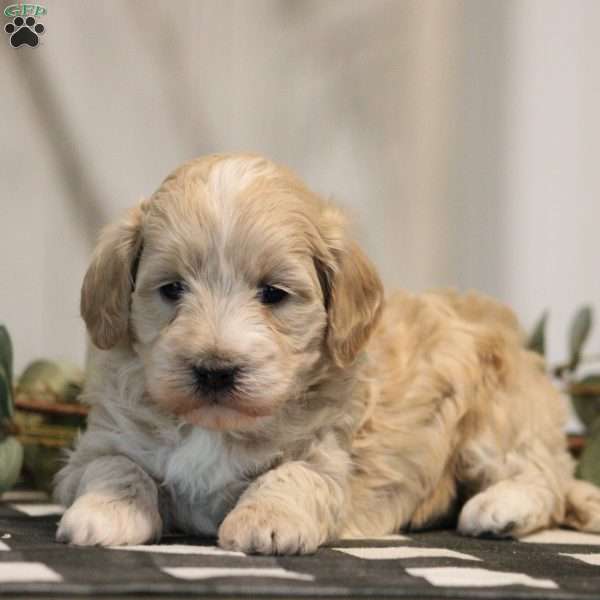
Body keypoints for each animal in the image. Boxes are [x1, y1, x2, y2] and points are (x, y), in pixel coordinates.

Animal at [55, 155, 600, 552]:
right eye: (171, 289)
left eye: (273, 294)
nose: (215, 370)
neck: (216, 426)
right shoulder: (97, 446)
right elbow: (117, 467)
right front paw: (103, 511)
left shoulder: (328, 453)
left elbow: (292, 474)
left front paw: (266, 521)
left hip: (499, 418)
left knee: (544, 477)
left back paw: (499, 508)